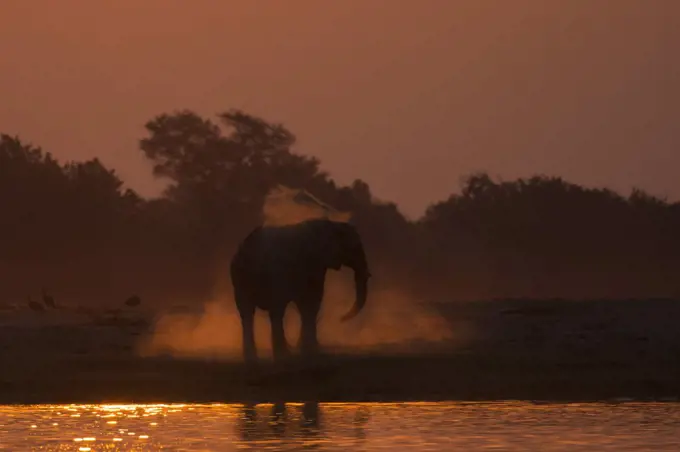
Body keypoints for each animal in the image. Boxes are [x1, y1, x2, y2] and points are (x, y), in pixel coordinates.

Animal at [232, 217, 372, 362]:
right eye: (355, 248)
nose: (340, 319)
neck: (332, 224)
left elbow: (308, 305)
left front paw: (308, 351)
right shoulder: (312, 264)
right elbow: (311, 303)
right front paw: (311, 352)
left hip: (242, 278)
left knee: (248, 313)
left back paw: (255, 358)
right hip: (268, 276)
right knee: (275, 311)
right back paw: (282, 355)